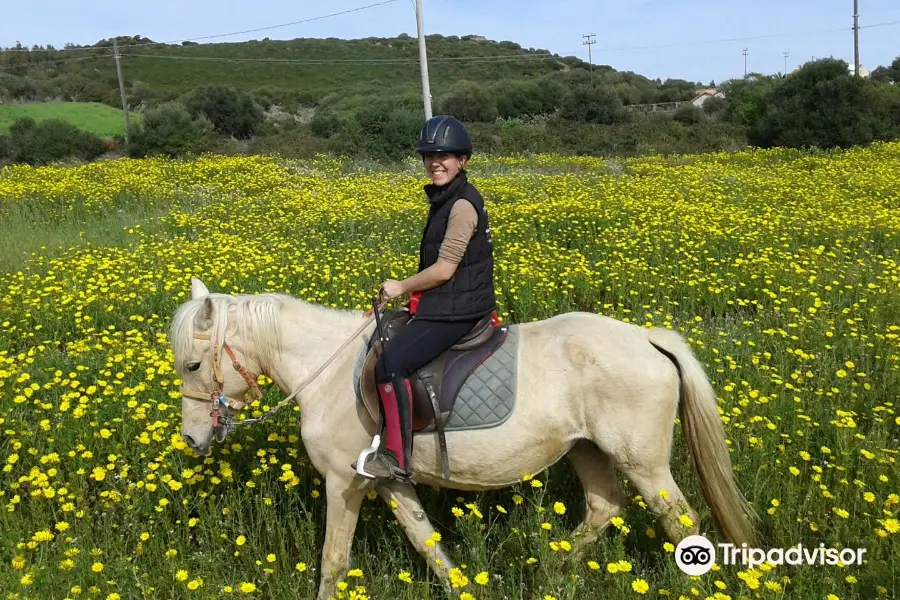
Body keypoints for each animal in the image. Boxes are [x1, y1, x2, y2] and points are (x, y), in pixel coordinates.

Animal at [172, 278, 756, 596]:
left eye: (194, 364)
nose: (193, 440)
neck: (329, 370)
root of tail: (647, 338)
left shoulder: (345, 482)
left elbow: (334, 560)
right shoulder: (389, 481)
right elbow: (427, 543)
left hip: (644, 463)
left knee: (680, 520)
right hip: (587, 451)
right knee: (603, 507)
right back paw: (549, 572)